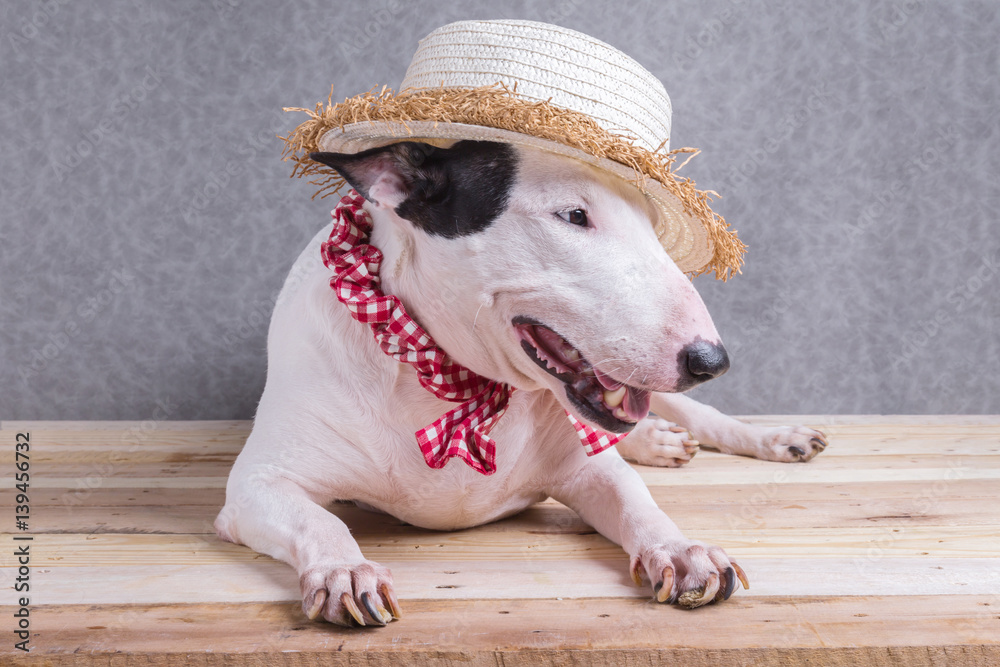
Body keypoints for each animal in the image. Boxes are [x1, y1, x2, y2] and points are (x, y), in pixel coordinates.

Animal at [217, 140, 828, 628]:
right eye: (574, 214)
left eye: (653, 229)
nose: (711, 360)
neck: (460, 384)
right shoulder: (257, 486)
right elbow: (317, 521)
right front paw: (346, 571)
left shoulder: (589, 470)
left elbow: (638, 503)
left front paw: (681, 551)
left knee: (693, 418)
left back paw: (769, 438)